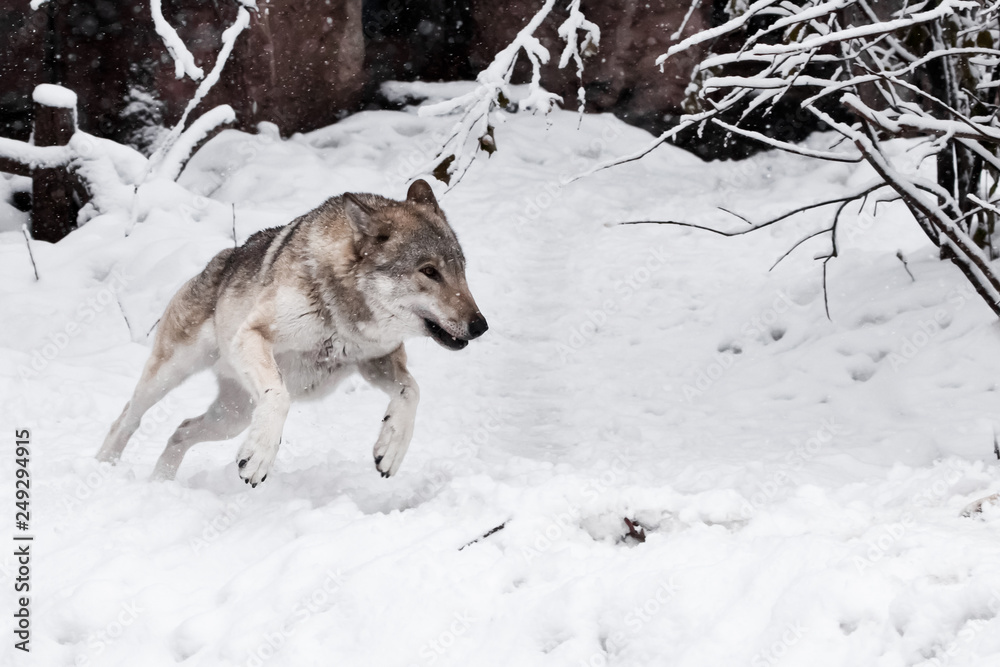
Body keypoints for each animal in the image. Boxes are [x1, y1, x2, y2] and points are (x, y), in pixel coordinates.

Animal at [97, 179, 488, 486]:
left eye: (461, 269)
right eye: (429, 271)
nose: (480, 326)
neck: (344, 316)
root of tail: (219, 259)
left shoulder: (374, 361)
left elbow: (412, 391)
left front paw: (391, 448)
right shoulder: (254, 335)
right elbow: (279, 395)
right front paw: (259, 458)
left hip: (233, 418)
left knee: (180, 430)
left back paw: (161, 482)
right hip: (169, 374)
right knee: (125, 419)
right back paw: (102, 473)